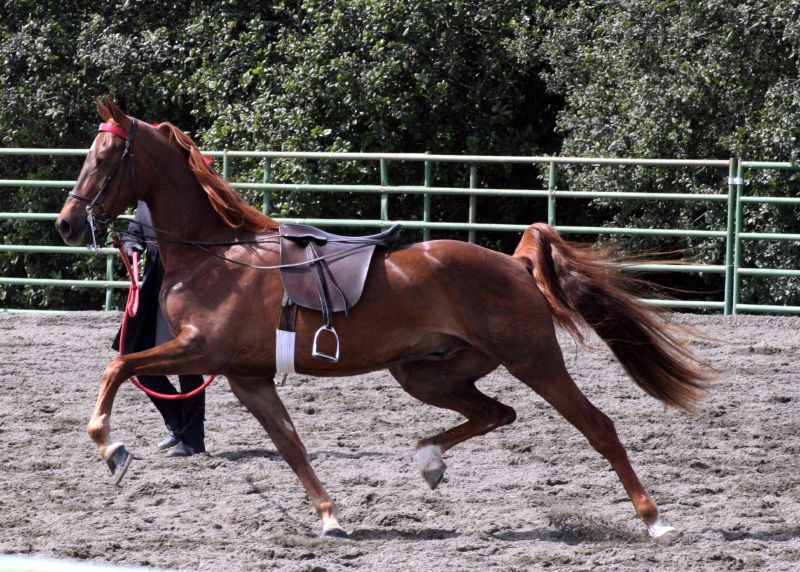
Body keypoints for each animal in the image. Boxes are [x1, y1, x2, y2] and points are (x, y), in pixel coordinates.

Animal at [56, 98, 708, 540]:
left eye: (106, 156)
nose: (65, 224)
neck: (219, 255)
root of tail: (516, 262)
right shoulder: (249, 377)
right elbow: (291, 445)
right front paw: (330, 518)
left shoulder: (202, 351)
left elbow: (119, 366)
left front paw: (111, 447)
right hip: (425, 373)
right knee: (496, 413)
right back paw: (429, 461)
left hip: (534, 360)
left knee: (596, 426)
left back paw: (654, 521)